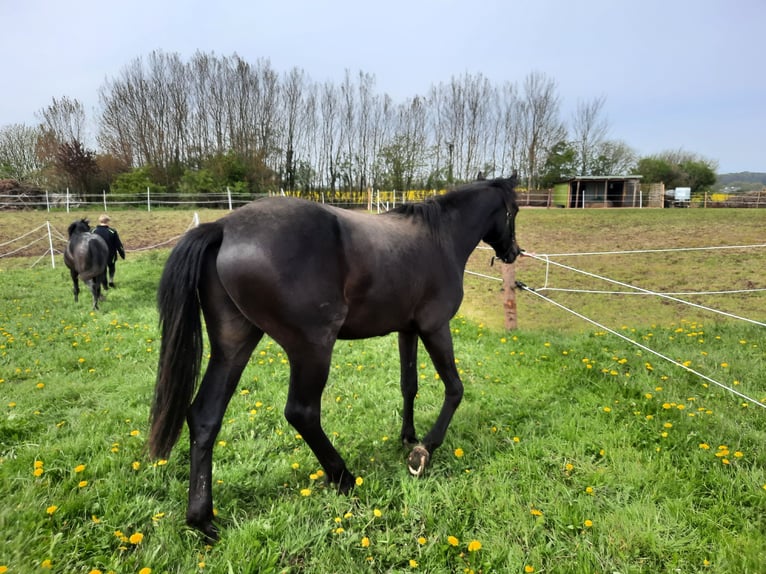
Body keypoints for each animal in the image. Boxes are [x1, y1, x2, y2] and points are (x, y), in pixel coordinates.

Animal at [149, 174, 522, 540]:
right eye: (514, 210)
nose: (514, 251)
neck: (439, 238)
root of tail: (223, 228)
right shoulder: (435, 328)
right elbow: (455, 389)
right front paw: (423, 451)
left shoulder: (408, 330)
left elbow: (409, 385)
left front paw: (408, 437)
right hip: (312, 348)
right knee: (301, 413)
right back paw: (343, 476)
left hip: (234, 346)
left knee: (205, 416)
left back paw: (203, 520)